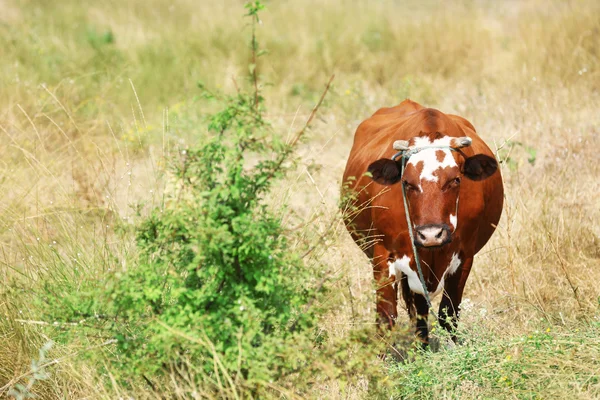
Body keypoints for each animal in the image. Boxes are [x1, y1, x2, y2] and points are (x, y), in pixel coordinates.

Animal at [342, 99, 502, 346]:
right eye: (407, 182)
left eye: (456, 179)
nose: (431, 234)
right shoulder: (383, 255)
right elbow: (386, 318)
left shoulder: (465, 256)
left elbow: (449, 314)